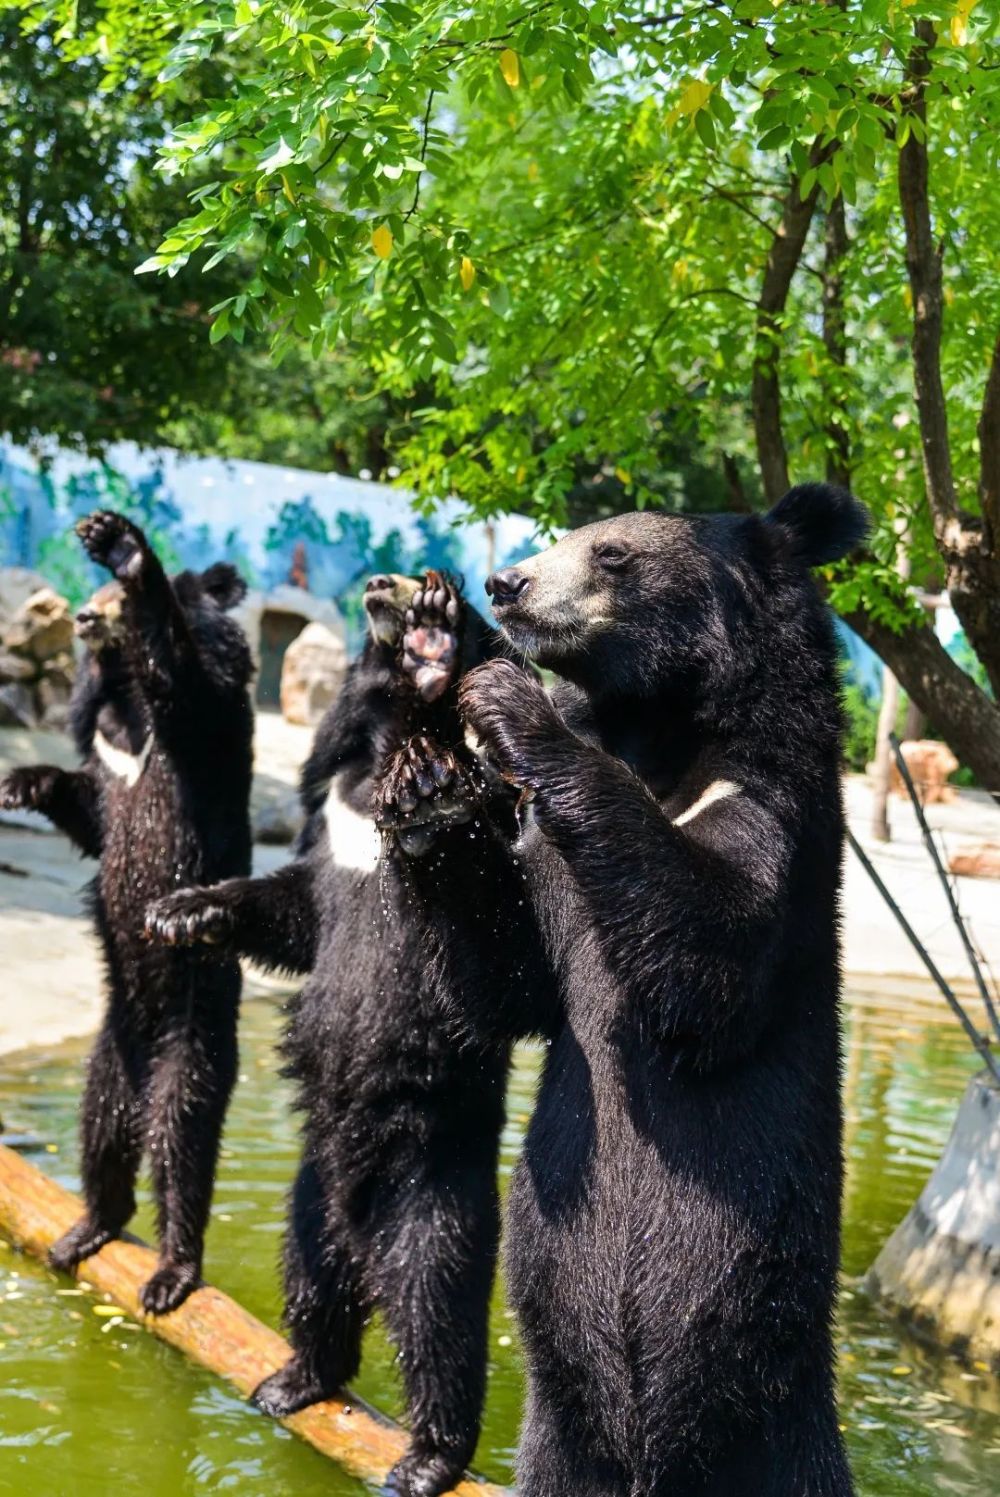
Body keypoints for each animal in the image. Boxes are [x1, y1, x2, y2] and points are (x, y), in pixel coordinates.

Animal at [0, 511, 254, 1311]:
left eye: (109, 596)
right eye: (88, 596)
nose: (83, 617)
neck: (122, 690)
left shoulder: (205, 726)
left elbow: (190, 687)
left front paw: (122, 541)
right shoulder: (103, 737)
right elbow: (93, 813)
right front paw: (22, 782)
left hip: (196, 1020)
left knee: (180, 1135)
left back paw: (173, 1269)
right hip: (111, 1042)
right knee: (103, 1121)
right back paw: (88, 1226)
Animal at [144, 565, 535, 1491]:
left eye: (422, 574)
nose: (381, 583)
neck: (386, 746)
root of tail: (364, 1222)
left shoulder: (492, 820)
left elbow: (507, 944)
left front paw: (432, 655)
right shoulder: (335, 817)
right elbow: (294, 909)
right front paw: (182, 910)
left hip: (433, 1174)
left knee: (436, 1307)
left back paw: (430, 1453)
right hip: (313, 1184)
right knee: (311, 1271)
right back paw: (296, 1377)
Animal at [461, 488, 868, 1497]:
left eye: (611, 554)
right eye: (562, 535)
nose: (504, 583)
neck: (664, 729)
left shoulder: (769, 814)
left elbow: (707, 965)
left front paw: (510, 702)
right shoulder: (548, 877)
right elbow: (514, 980)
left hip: (774, 1418)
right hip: (559, 1432)